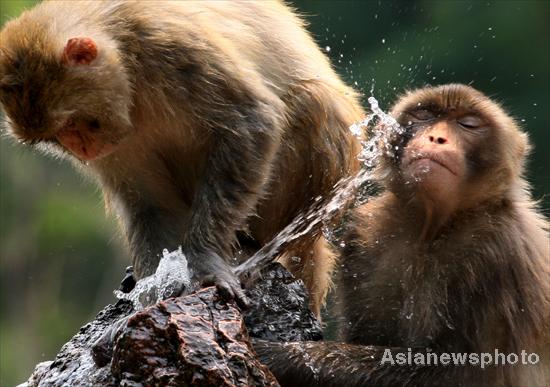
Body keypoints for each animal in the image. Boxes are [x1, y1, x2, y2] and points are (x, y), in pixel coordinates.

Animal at [0, 0, 364, 316]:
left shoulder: (171, 48)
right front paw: (153, 288)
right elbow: (149, 201)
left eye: (73, 123)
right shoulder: (118, 140)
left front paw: (204, 261)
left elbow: (251, 121)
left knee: (311, 102)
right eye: (57, 137)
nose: (81, 149)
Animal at [256, 85, 550, 387]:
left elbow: (463, 373)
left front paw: (281, 356)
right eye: (424, 115)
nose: (436, 137)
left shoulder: (499, 251)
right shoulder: (365, 233)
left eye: (468, 124)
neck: (433, 229)